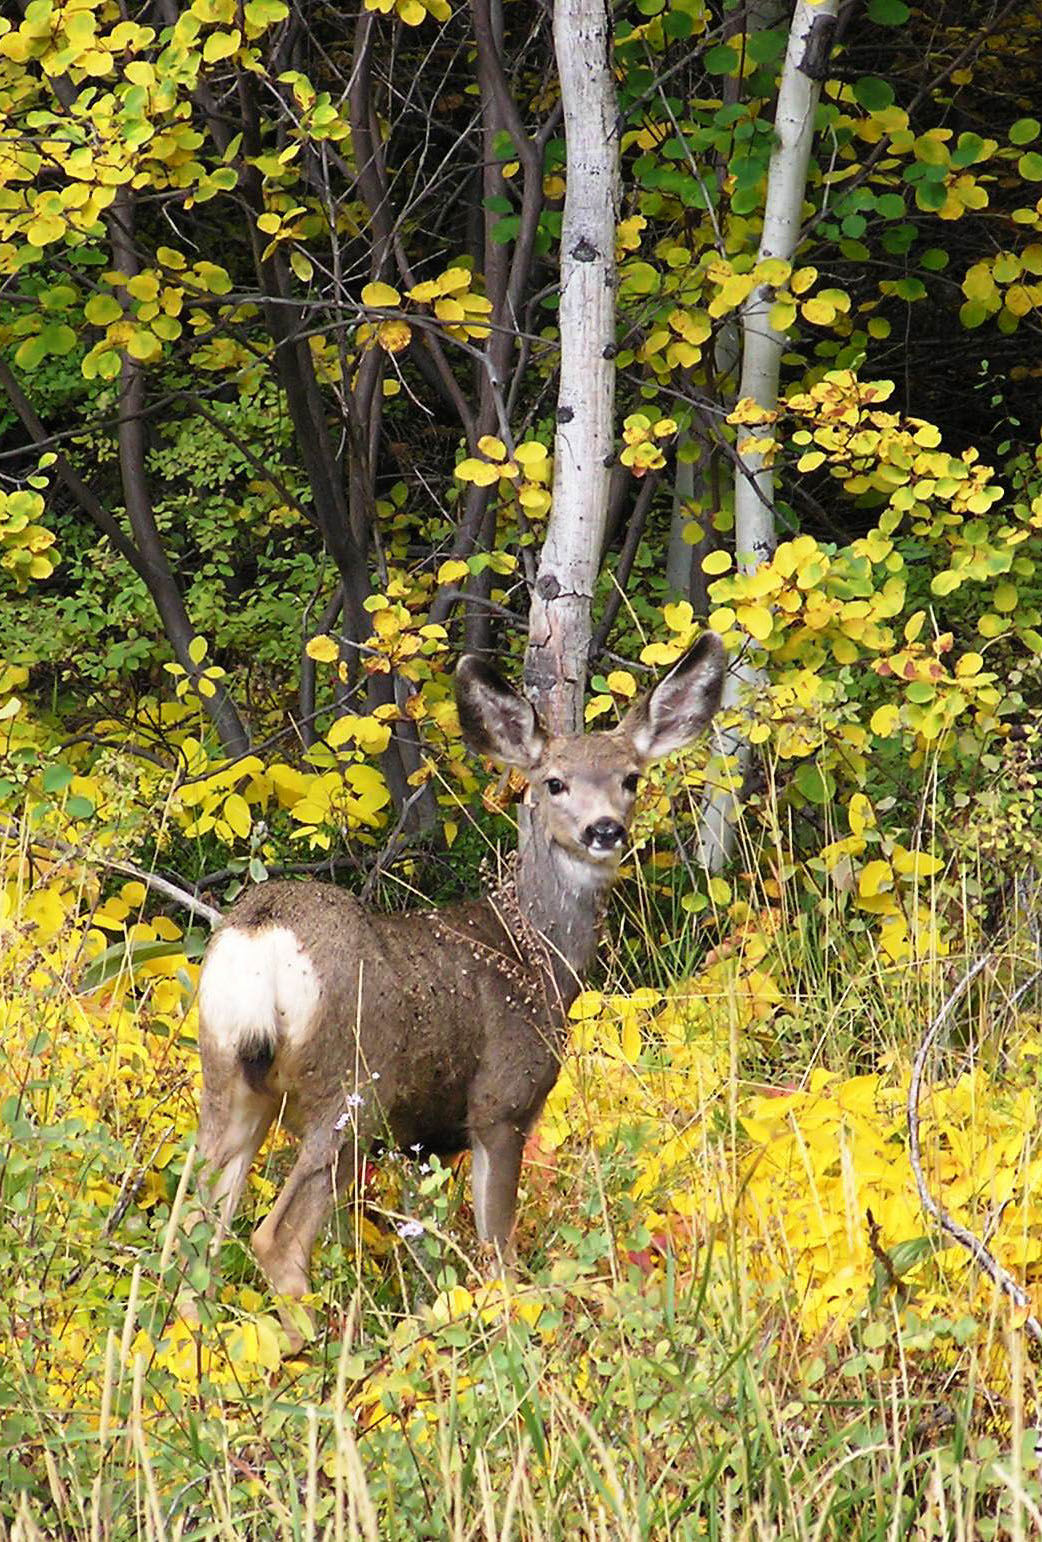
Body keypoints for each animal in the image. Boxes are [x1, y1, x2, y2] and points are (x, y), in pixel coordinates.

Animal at [189, 629, 724, 1338]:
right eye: (555, 782)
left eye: (631, 778)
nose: (604, 829)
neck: (536, 955)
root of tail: (262, 935)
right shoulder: (503, 1100)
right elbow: (498, 1249)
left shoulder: (424, 1142)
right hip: (352, 1087)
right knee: (275, 1237)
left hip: (228, 1078)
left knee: (192, 1229)